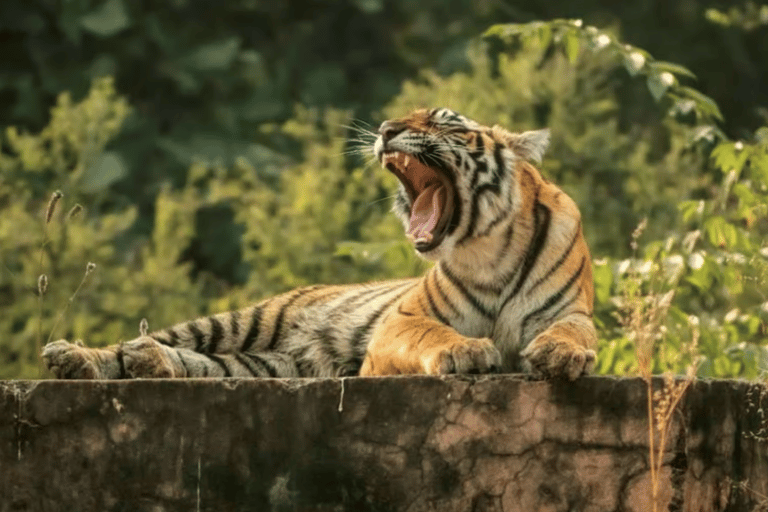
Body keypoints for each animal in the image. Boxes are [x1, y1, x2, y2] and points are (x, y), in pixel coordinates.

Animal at [42, 108, 597, 381]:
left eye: (444, 121)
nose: (385, 129)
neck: (489, 250)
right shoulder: (403, 320)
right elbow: (432, 334)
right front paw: (467, 351)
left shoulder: (568, 311)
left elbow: (573, 334)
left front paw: (561, 356)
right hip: (241, 321)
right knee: (143, 342)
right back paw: (74, 357)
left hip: (264, 362)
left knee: (195, 363)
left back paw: (150, 363)